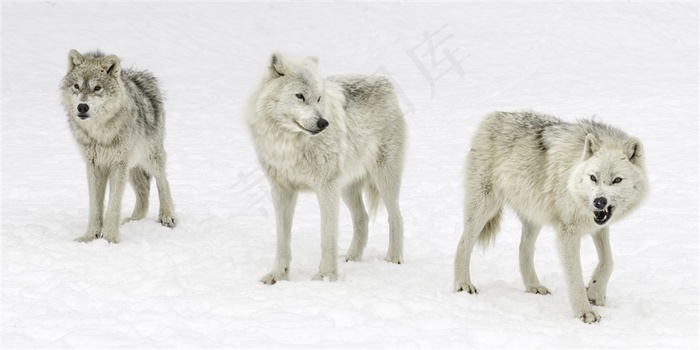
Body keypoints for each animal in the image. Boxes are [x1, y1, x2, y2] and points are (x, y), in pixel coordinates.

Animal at [59, 50, 178, 243]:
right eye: (76, 86)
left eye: (97, 88)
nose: (82, 107)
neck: (100, 134)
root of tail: (142, 76)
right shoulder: (94, 165)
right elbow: (95, 206)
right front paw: (89, 237)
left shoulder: (118, 164)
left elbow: (113, 206)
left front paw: (109, 239)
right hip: (132, 168)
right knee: (144, 189)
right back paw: (133, 221)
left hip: (150, 157)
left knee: (163, 182)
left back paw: (167, 216)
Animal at [245, 50, 404, 284]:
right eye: (300, 96)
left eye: (319, 98)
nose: (323, 123)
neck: (291, 144)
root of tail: (384, 82)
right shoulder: (281, 191)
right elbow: (282, 240)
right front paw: (278, 275)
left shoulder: (326, 189)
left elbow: (327, 237)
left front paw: (326, 277)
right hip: (347, 188)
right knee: (362, 218)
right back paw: (352, 257)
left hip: (384, 180)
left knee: (396, 217)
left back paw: (394, 259)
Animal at [456, 110, 648, 324]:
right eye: (593, 178)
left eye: (617, 180)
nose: (599, 202)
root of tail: (492, 116)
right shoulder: (568, 232)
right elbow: (575, 276)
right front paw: (585, 312)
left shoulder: (598, 225)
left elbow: (608, 261)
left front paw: (595, 292)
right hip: (484, 206)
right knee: (463, 243)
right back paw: (463, 285)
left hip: (533, 217)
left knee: (524, 249)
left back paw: (534, 287)